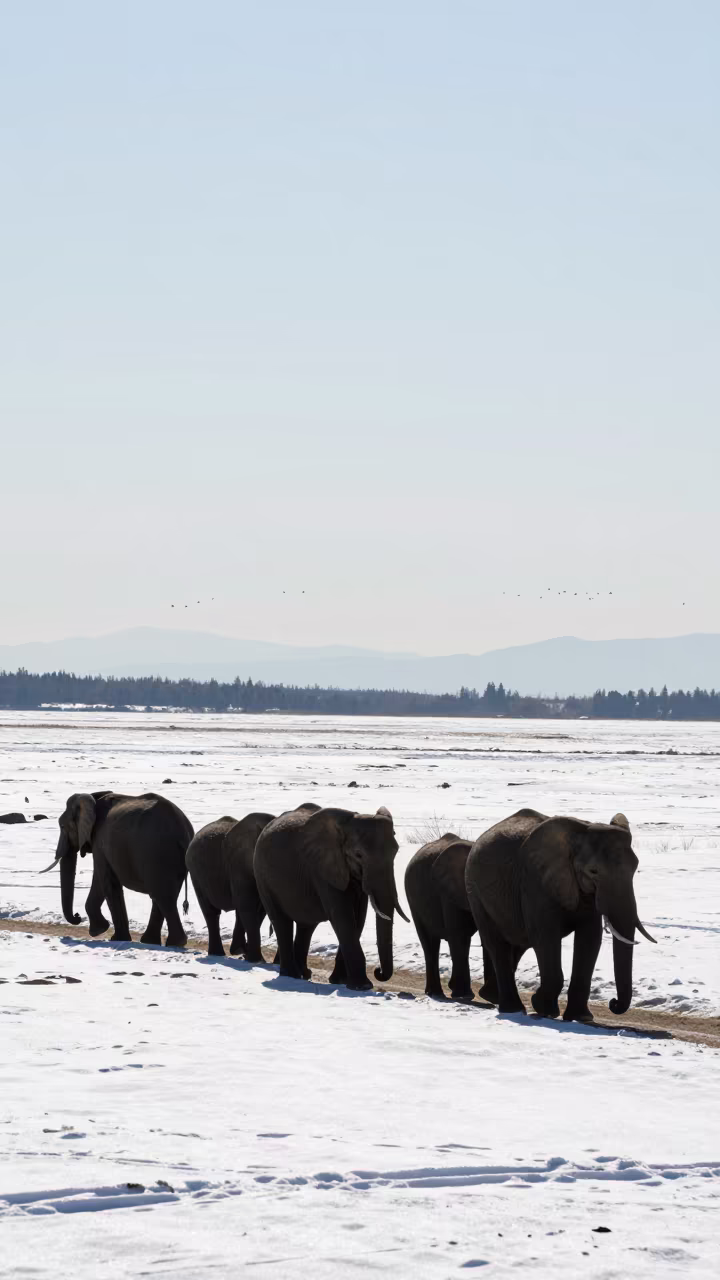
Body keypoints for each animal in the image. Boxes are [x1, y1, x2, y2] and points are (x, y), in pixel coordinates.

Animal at [42, 791, 194, 946]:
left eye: (62, 826)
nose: (77, 916)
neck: (93, 798)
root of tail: (183, 830)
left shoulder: (99, 840)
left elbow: (104, 879)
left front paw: (107, 934)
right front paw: (105, 932)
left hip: (157, 853)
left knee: (162, 896)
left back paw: (173, 943)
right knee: (163, 895)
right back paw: (153, 942)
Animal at [185, 811, 276, 959]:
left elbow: (259, 908)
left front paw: (244, 953)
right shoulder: (238, 864)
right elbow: (247, 904)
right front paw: (257, 960)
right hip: (196, 873)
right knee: (211, 912)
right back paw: (219, 953)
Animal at [253, 804, 409, 990]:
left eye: (396, 852)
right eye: (358, 855)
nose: (378, 971)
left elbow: (358, 917)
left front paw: (341, 982)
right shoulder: (322, 869)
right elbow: (343, 917)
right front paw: (362, 987)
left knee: (306, 926)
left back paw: (304, 975)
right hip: (263, 878)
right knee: (281, 921)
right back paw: (291, 975)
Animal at [405, 833, 495, 1001]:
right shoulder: (448, 893)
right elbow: (459, 936)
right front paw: (464, 995)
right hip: (413, 899)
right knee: (430, 943)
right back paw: (435, 993)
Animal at [464, 808, 656, 1021]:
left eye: (635, 867)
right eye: (593, 871)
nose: (613, 1003)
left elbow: (590, 938)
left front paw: (581, 1018)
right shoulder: (534, 882)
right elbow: (546, 937)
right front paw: (544, 1009)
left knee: (518, 944)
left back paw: (490, 996)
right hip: (475, 892)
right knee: (498, 945)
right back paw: (512, 1009)